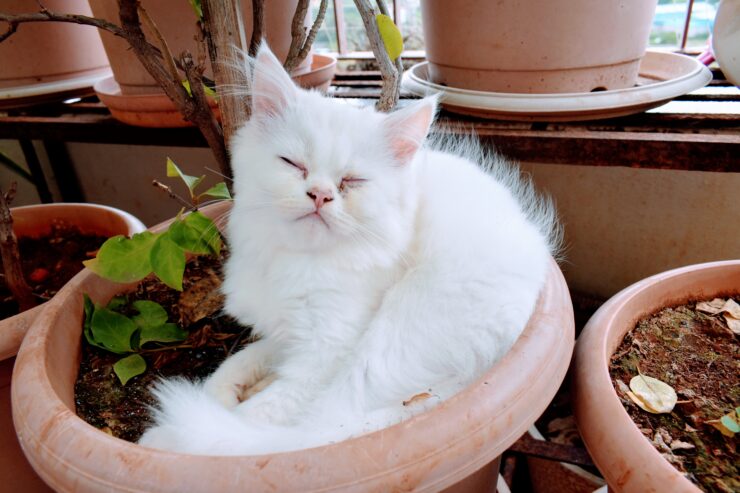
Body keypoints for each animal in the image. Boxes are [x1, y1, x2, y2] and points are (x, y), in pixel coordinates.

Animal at [139, 46, 556, 454]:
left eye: (353, 181)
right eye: (293, 164)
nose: (320, 195)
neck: (294, 262)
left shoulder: (327, 351)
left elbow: (266, 413)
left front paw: (191, 430)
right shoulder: (287, 332)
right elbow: (247, 358)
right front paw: (224, 388)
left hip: (396, 330)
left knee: (318, 422)